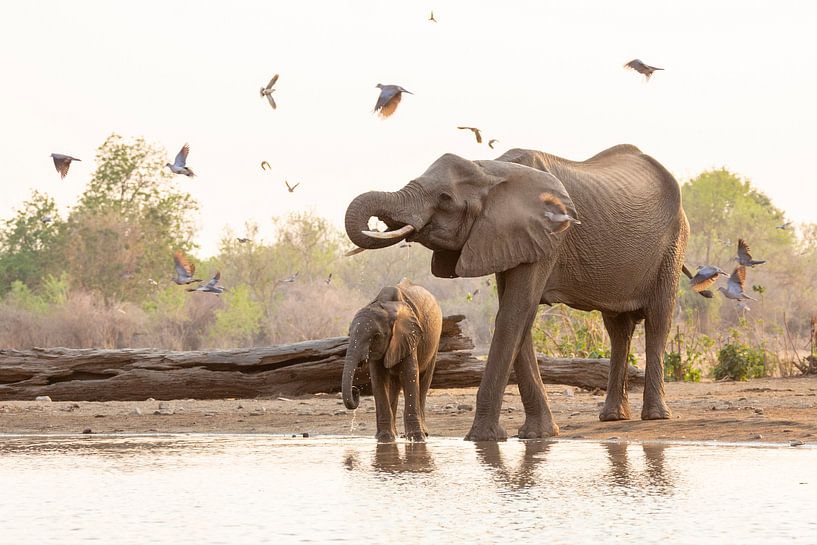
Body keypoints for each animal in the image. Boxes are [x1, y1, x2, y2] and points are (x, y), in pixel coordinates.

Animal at [342, 278, 444, 440]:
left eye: (376, 336)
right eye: (349, 334)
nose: (355, 390)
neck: (386, 305)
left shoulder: (409, 335)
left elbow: (409, 374)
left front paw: (416, 438)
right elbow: (378, 378)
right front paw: (384, 438)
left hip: (435, 341)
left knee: (424, 380)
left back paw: (424, 434)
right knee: (395, 384)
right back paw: (394, 434)